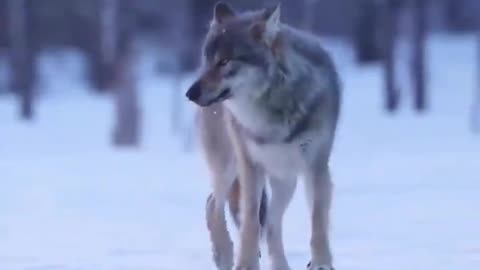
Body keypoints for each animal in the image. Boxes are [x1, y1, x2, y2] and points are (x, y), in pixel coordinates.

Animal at [186, 2, 340, 270]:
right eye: (208, 61)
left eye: (224, 61)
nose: (190, 93)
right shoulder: (250, 165)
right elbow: (249, 221)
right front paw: (245, 264)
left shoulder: (317, 167)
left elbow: (318, 222)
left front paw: (321, 263)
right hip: (229, 167)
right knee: (213, 204)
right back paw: (223, 254)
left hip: (286, 179)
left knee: (271, 225)